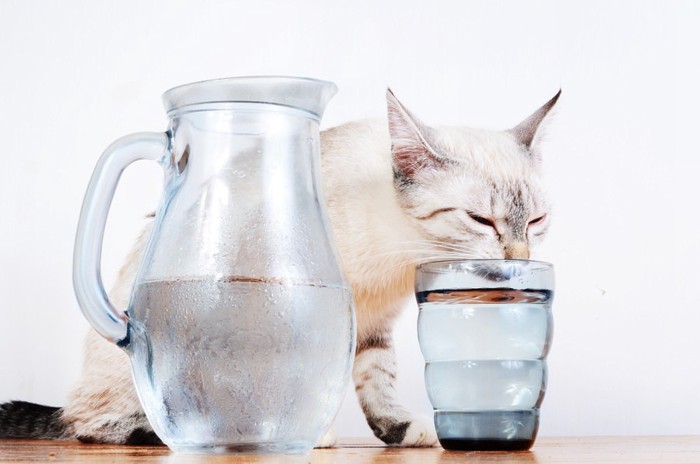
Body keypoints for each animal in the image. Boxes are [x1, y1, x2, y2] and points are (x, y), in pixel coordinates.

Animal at [0, 86, 556, 446]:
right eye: (482, 221)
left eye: (536, 221)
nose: (520, 260)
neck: (399, 254)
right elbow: (297, 379)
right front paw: (309, 435)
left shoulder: (372, 325)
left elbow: (377, 380)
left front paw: (398, 431)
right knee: (93, 423)